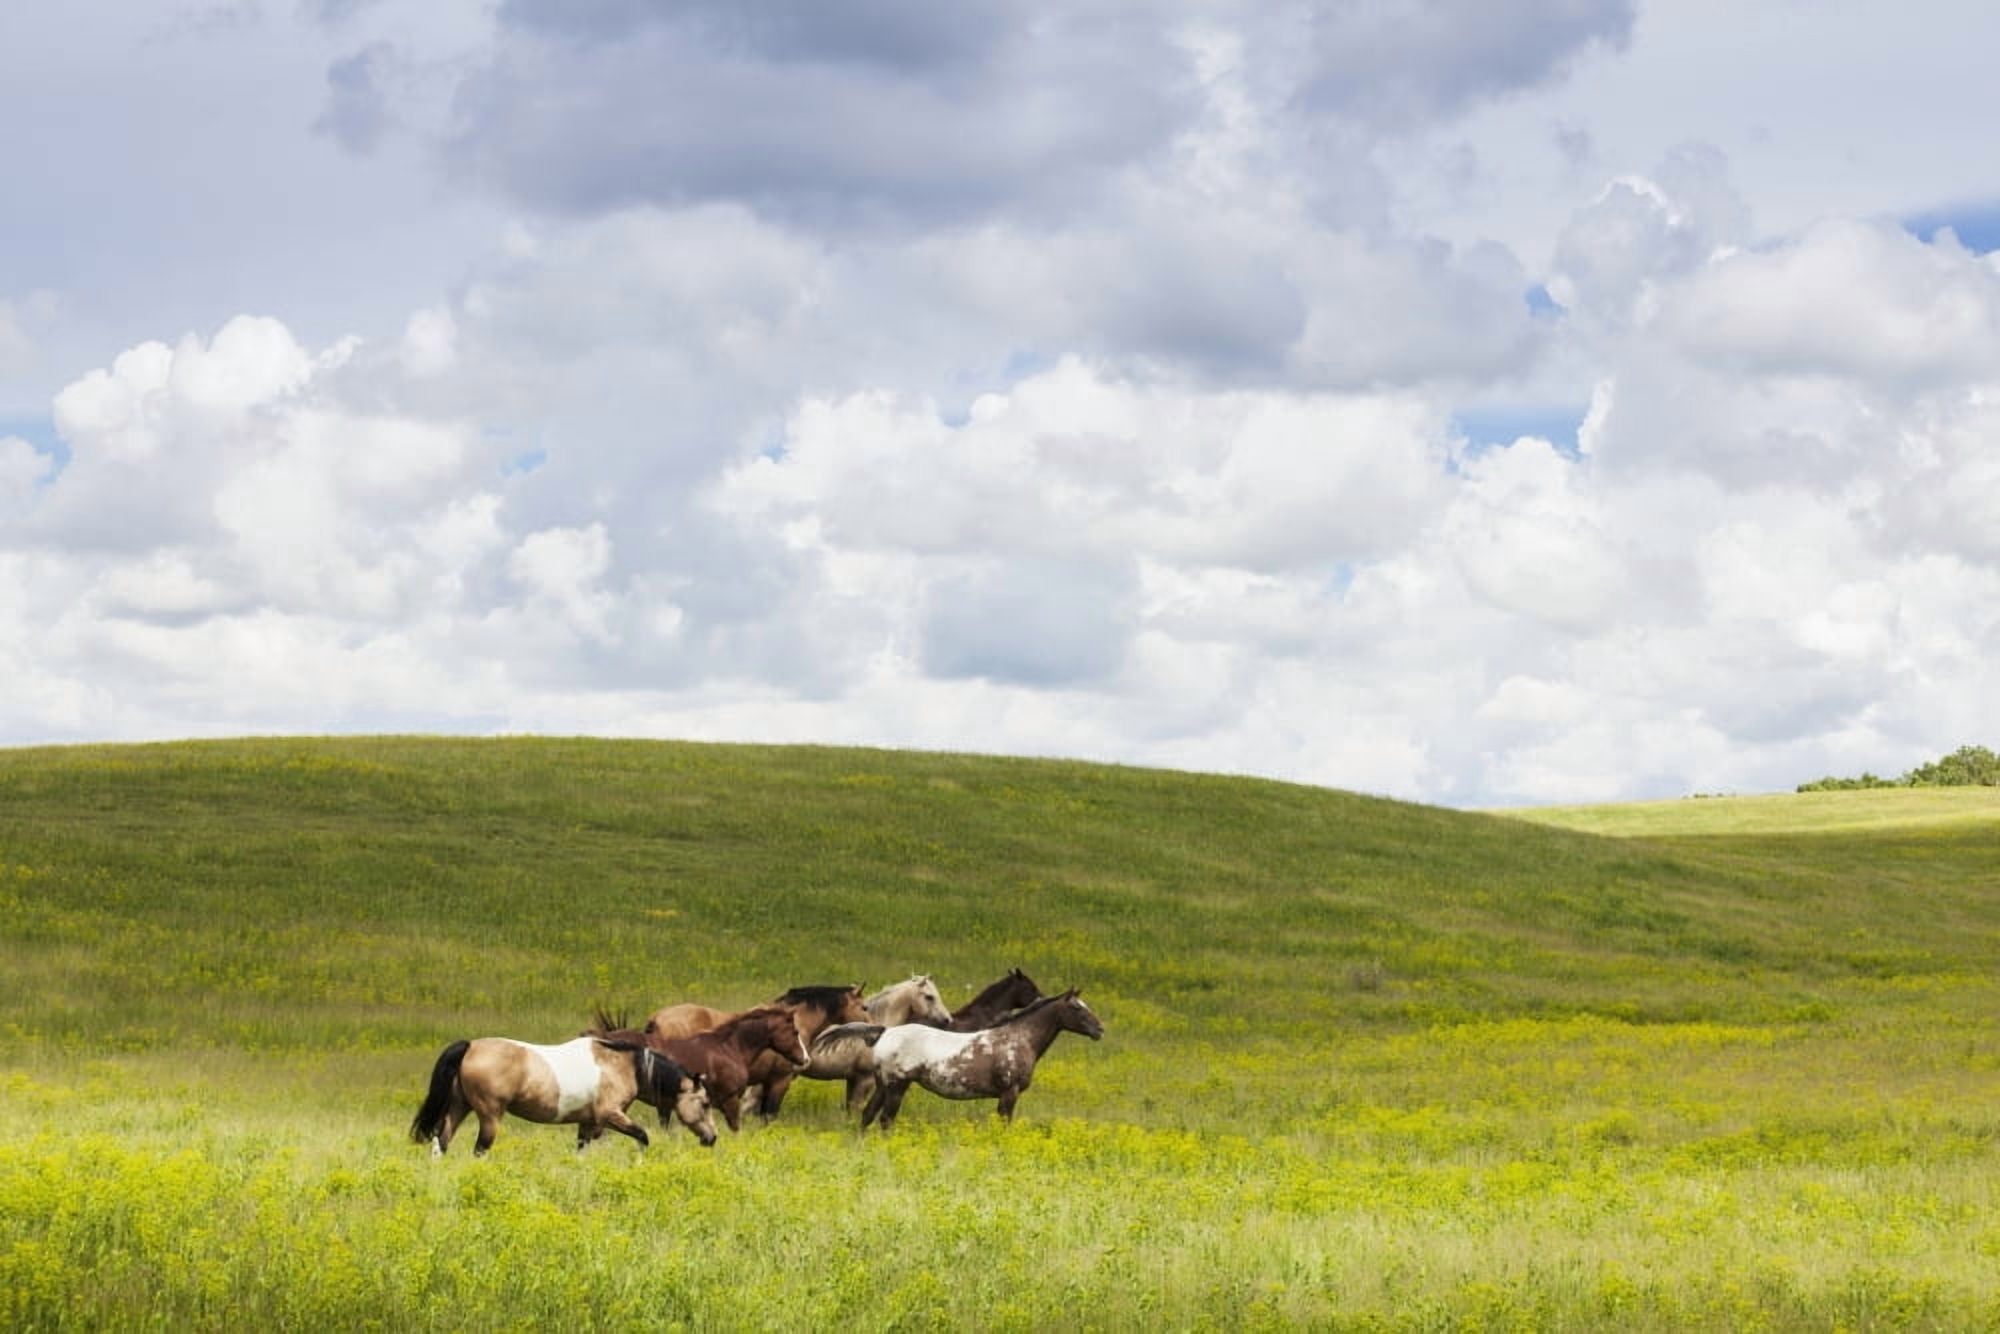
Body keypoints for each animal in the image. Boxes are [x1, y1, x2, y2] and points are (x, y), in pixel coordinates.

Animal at [408, 1034, 716, 1156]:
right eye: (704, 1103)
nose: (712, 1138)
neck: (623, 1066)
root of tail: (470, 1046)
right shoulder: (610, 1115)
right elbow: (643, 1137)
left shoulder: (588, 1123)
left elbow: (582, 1151)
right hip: (489, 1116)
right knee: (479, 1149)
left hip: (460, 1107)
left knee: (441, 1142)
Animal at [860, 989, 1104, 1130]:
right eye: (1076, 1007)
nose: (1100, 1029)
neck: (1018, 1038)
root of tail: (885, 1032)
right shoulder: (1009, 1092)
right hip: (897, 1087)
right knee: (885, 1120)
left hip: (883, 1086)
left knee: (867, 1115)